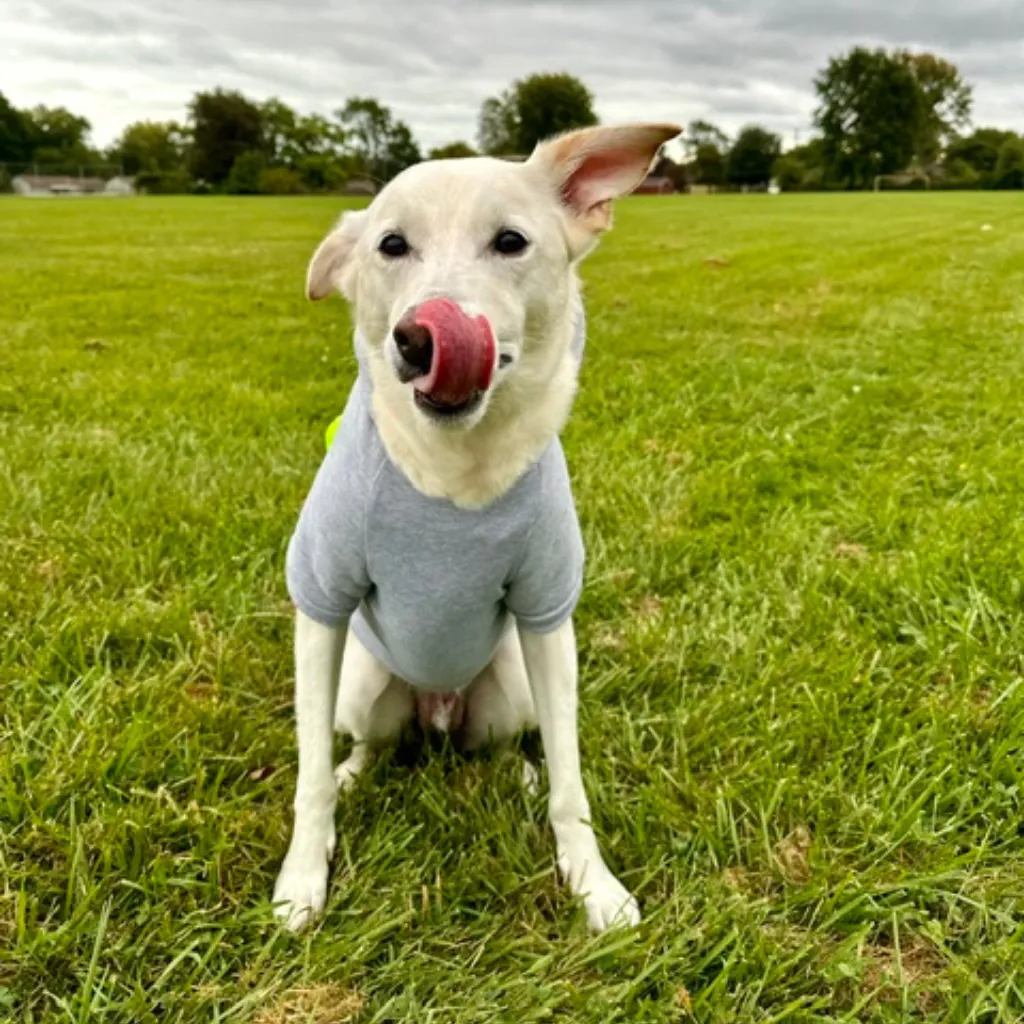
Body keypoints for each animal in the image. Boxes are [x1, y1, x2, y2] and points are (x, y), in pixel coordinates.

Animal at [274, 119, 679, 937]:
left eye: (511, 241)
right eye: (391, 245)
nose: (420, 338)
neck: (457, 473)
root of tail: (438, 714)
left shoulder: (548, 618)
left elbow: (570, 780)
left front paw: (592, 882)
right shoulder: (321, 607)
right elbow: (308, 776)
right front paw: (304, 877)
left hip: (509, 689)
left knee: (505, 748)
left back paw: (516, 773)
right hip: (364, 686)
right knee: (364, 746)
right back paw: (357, 773)